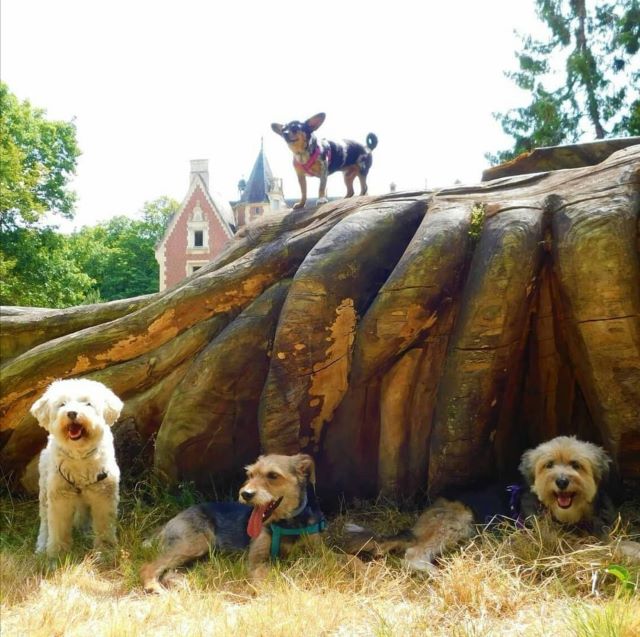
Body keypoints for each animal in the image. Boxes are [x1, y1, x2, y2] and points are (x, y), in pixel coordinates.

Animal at [30, 380, 124, 556]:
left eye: (88, 403)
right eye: (62, 404)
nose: (72, 413)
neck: (79, 456)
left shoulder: (104, 495)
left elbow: (104, 525)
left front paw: (106, 550)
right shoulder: (59, 496)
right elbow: (58, 528)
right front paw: (56, 553)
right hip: (45, 491)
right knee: (45, 522)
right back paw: (41, 547)